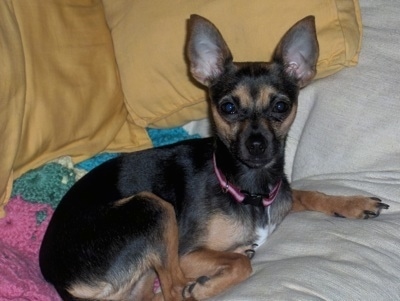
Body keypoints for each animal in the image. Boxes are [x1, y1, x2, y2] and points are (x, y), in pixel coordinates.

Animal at [39, 14, 390, 300]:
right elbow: (237, 264)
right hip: (152, 207)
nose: (257, 144)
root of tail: (61, 282)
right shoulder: (187, 254)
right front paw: (208, 283)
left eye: (281, 106)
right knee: (174, 290)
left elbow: (308, 192)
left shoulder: (283, 195)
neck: (249, 188)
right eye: (228, 107)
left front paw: (352, 203)